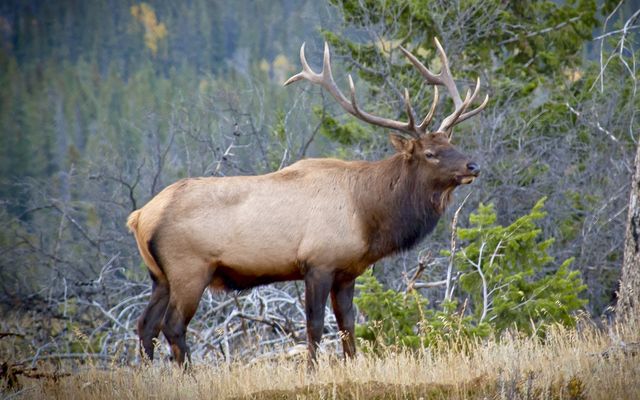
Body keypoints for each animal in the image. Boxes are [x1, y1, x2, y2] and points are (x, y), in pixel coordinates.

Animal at [127, 37, 488, 366]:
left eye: (451, 143)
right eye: (430, 153)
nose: (473, 166)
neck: (368, 215)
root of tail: (140, 216)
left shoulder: (347, 271)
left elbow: (347, 325)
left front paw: (351, 365)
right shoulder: (318, 262)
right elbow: (314, 325)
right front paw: (313, 368)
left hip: (160, 276)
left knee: (146, 326)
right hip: (189, 269)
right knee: (172, 326)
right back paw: (188, 375)